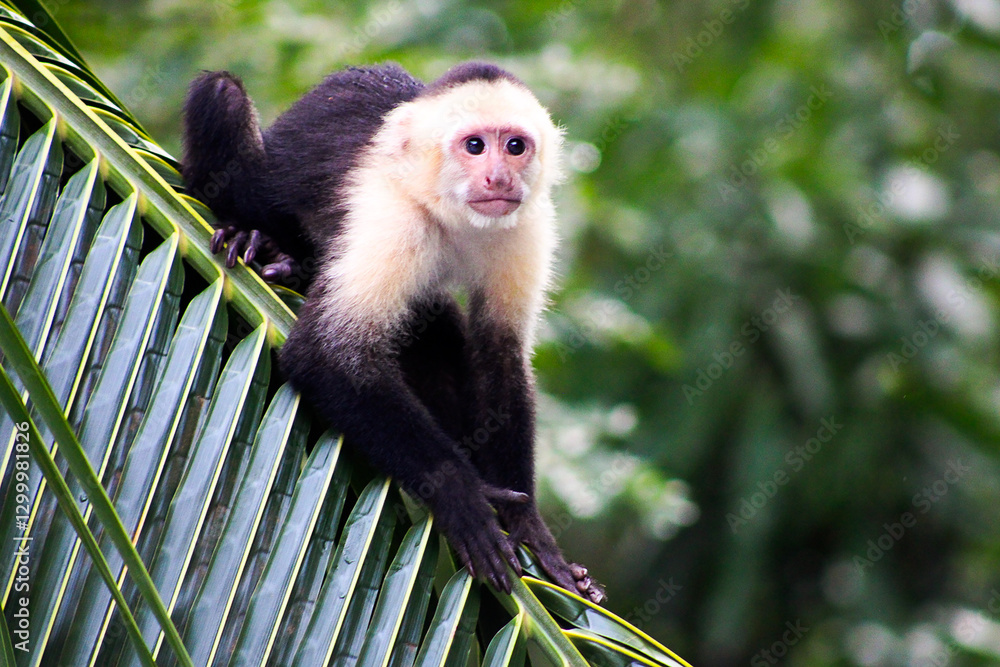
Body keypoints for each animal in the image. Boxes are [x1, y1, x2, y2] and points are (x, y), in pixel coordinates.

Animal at [182, 62, 605, 603]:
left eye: (515, 146)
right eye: (474, 146)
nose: (498, 176)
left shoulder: (526, 223)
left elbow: (500, 353)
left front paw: (527, 523)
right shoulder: (394, 215)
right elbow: (324, 354)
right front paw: (461, 493)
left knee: (435, 325)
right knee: (223, 96)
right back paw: (265, 244)